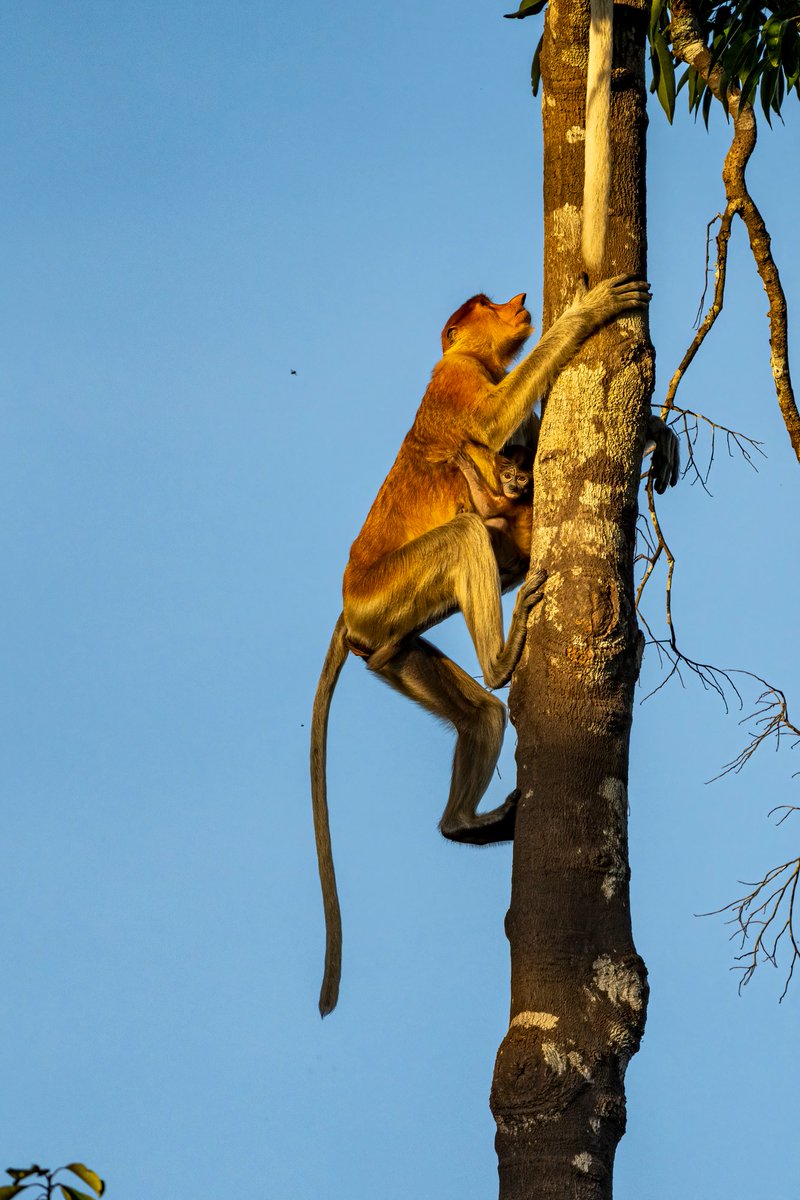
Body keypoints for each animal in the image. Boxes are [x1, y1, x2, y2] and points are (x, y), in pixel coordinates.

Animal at [311, 273, 652, 1016]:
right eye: (488, 305)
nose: (517, 301)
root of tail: (350, 607)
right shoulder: (458, 380)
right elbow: (494, 423)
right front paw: (590, 311)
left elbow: (520, 441)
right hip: (390, 588)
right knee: (468, 533)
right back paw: (501, 659)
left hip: (395, 635)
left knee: (477, 711)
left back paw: (462, 821)